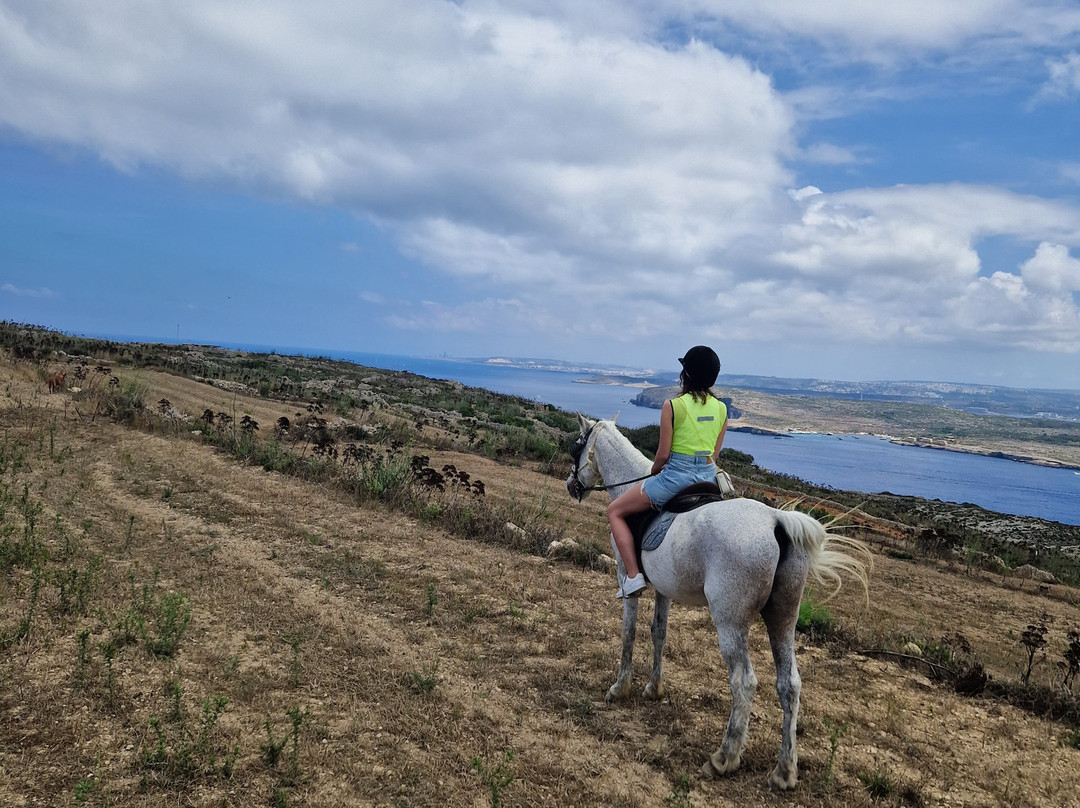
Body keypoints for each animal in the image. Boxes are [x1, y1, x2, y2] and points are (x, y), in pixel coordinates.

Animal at [565, 416, 868, 790]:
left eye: (576, 446)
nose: (571, 485)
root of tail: (776, 522)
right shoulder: (665, 589)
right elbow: (658, 633)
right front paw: (653, 687)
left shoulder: (627, 577)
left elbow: (629, 632)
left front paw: (620, 688)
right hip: (783, 620)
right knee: (790, 685)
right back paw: (784, 771)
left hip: (730, 622)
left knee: (744, 682)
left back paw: (724, 757)